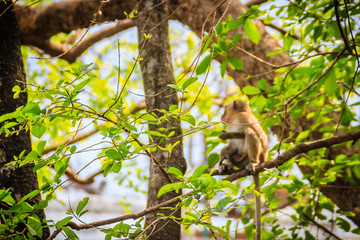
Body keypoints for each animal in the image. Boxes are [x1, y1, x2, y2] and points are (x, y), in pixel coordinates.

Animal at [217, 100, 268, 240]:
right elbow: (232, 146)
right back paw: (227, 166)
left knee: (249, 133)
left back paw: (253, 163)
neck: (235, 119)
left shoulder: (245, 118)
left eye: (225, 109)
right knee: (232, 151)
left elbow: (252, 132)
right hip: (240, 161)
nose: (222, 116)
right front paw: (223, 158)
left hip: (256, 157)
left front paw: (226, 135)